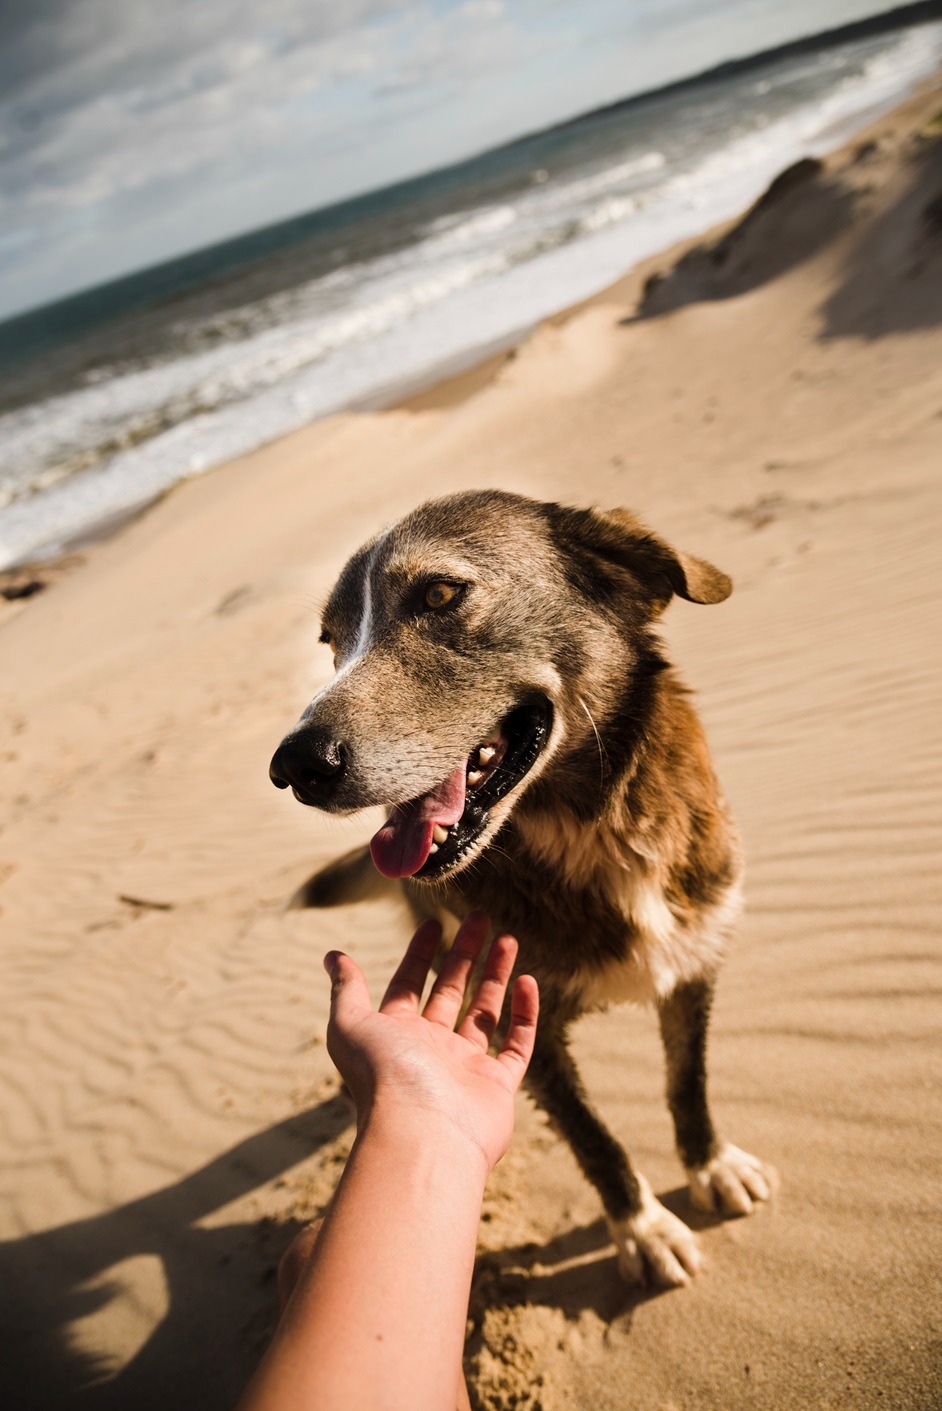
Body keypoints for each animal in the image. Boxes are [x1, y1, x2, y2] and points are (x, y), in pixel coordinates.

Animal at [270, 491, 772, 1286]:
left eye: (439, 595)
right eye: (331, 641)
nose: (293, 765)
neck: (594, 828)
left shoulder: (692, 969)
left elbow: (687, 1085)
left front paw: (709, 1164)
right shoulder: (518, 1017)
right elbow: (593, 1135)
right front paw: (642, 1227)